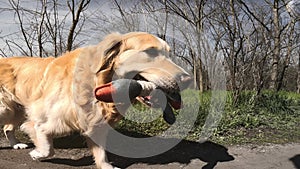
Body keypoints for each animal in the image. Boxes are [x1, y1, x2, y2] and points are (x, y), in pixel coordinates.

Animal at [0, 32, 192, 169]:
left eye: (169, 54)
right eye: (151, 51)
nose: (188, 79)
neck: (96, 81)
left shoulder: (96, 123)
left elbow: (101, 153)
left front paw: (106, 166)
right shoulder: (44, 119)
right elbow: (47, 146)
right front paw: (37, 154)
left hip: (16, 110)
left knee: (8, 128)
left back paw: (16, 145)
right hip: (7, 109)